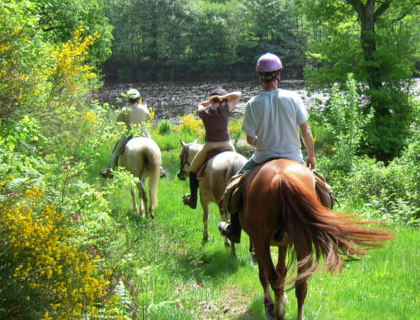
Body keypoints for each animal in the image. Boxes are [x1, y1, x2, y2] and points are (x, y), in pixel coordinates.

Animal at [240, 159, 394, 320]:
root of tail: (281, 178)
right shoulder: (282, 243)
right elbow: (282, 270)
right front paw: (282, 299)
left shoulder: (259, 240)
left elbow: (265, 274)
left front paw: (270, 304)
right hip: (300, 238)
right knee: (300, 281)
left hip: (262, 239)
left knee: (273, 277)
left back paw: (278, 312)